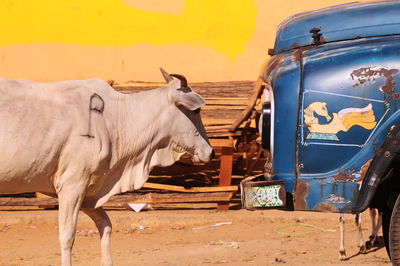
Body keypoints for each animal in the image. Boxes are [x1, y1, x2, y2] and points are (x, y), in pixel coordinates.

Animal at [0, 69, 214, 266]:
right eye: (196, 111)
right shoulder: (72, 185)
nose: (211, 152)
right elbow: (67, 236)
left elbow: (106, 225)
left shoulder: (89, 193)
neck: (116, 120)